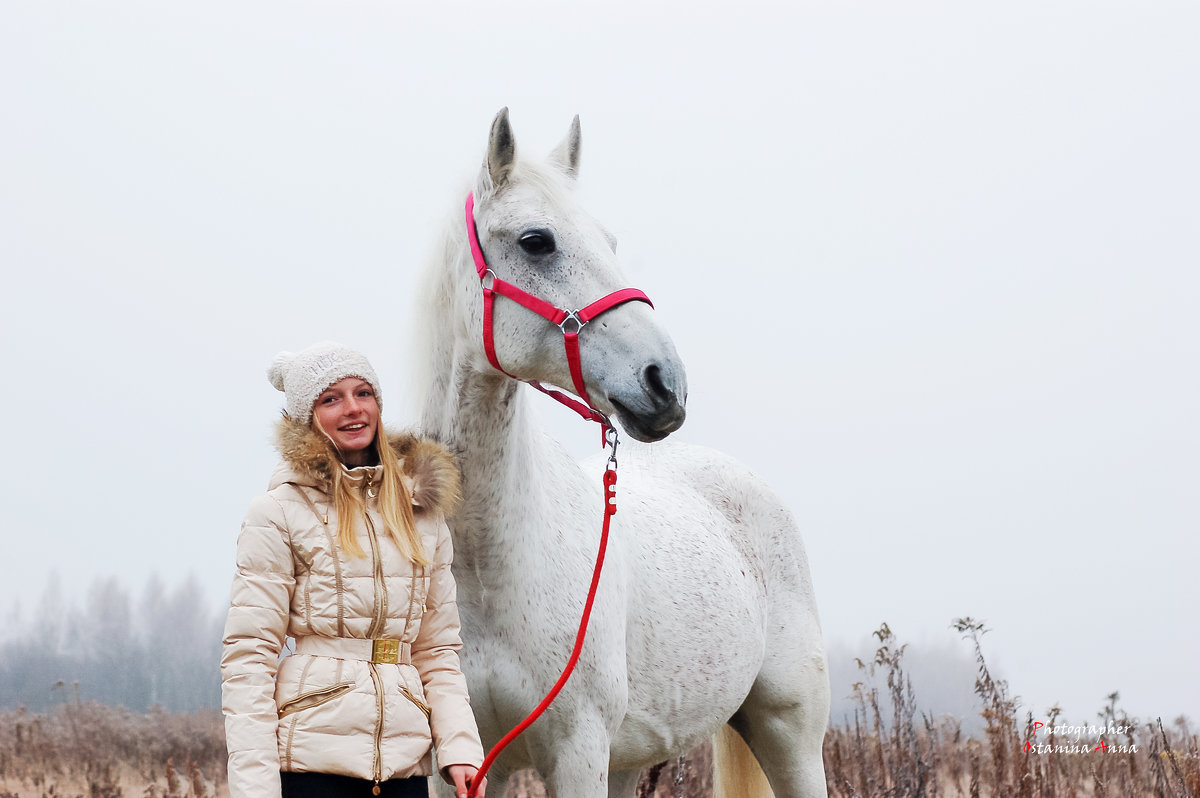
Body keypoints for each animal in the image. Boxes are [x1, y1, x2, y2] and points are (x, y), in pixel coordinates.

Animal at [415, 107, 825, 796]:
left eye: (609, 242)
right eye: (536, 241)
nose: (666, 384)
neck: (487, 568)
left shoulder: (578, 751)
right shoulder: (461, 767)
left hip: (789, 730)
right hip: (632, 761)